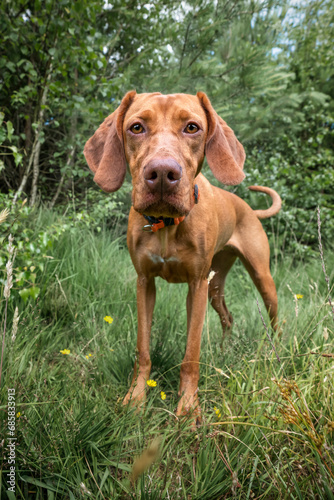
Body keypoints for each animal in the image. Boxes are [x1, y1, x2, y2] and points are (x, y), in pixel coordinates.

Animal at [83, 91, 280, 422]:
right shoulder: (145, 282)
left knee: (275, 318)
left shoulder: (196, 285)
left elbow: (191, 356)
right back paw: (225, 350)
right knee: (228, 316)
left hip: (259, 278)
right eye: (136, 127)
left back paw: (277, 353)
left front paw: (188, 408)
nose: (163, 174)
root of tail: (248, 208)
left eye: (192, 127)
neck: (166, 225)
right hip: (216, 284)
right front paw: (135, 399)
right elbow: (143, 349)